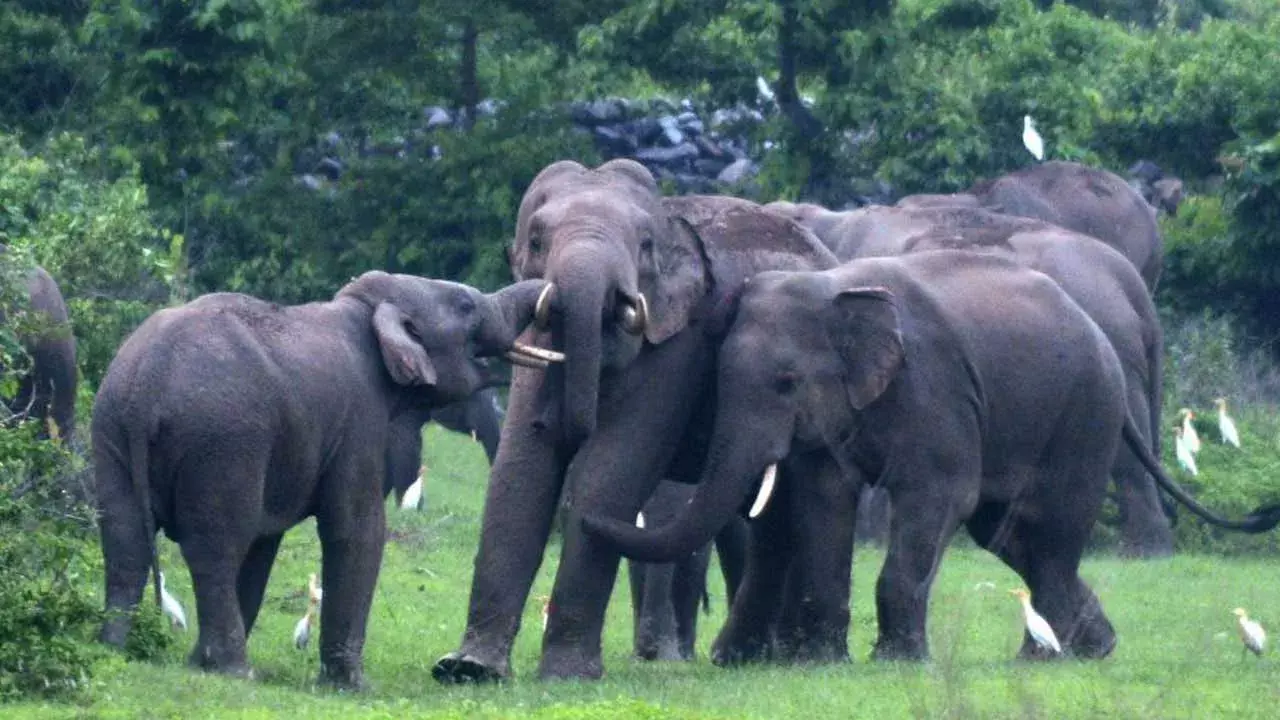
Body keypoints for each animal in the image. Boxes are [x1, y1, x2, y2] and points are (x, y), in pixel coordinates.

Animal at [93, 271, 555, 688]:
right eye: (465, 306)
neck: (367, 309)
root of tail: (149, 379)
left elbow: (265, 541)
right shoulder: (360, 418)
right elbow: (357, 530)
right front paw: (353, 687)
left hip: (112, 426)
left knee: (124, 539)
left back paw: (117, 649)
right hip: (221, 442)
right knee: (216, 548)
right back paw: (235, 671)